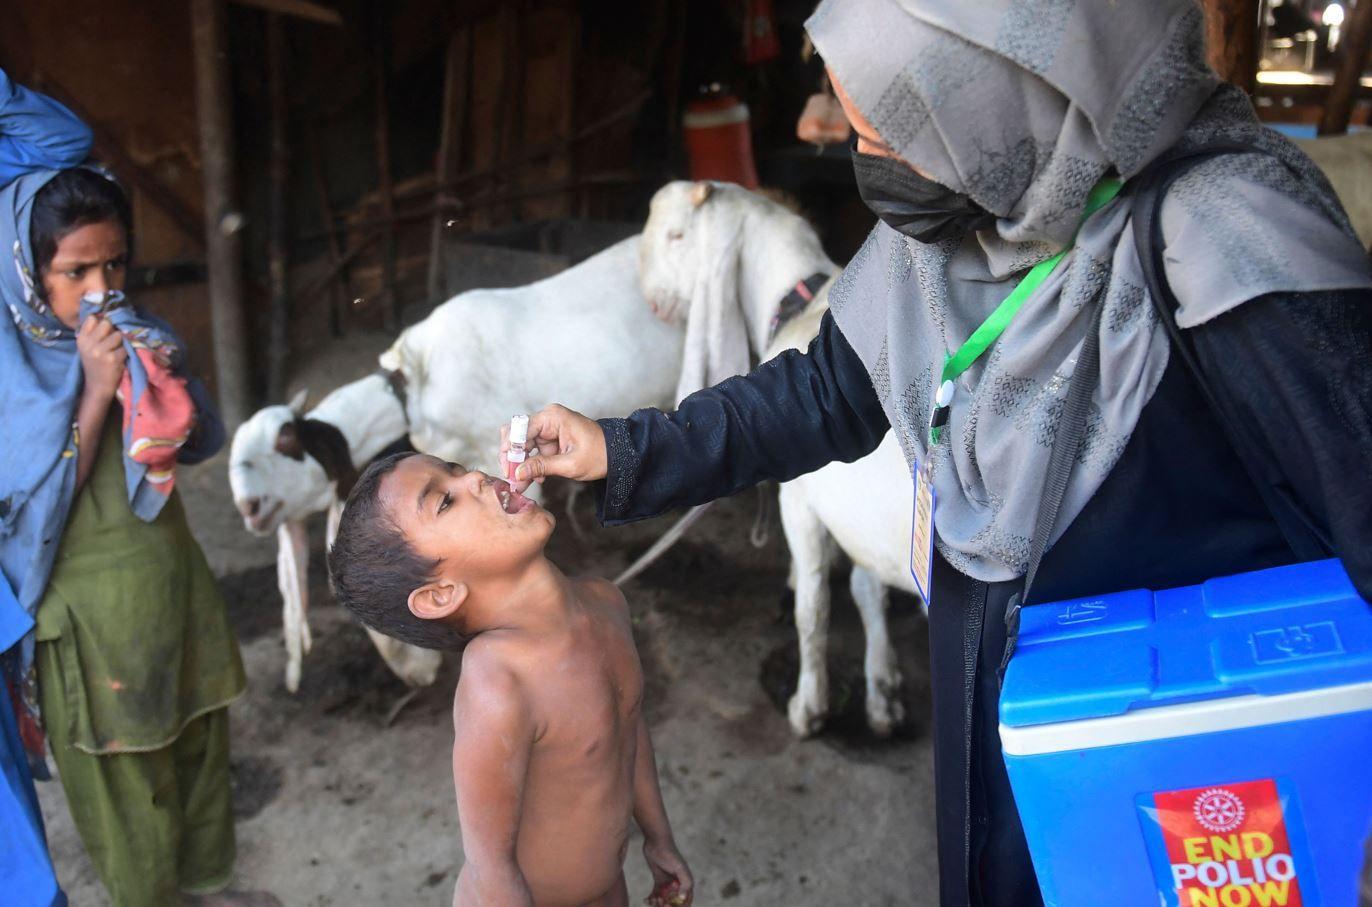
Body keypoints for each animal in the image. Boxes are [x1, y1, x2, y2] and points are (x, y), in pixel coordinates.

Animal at [639, 179, 911, 740]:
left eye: (677, 235)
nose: (652, 300)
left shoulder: (803, 500)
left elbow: (814, 606)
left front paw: (810, 705)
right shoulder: (860, 513)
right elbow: (866, 588)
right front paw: (882, 693)